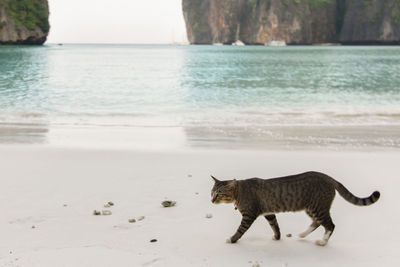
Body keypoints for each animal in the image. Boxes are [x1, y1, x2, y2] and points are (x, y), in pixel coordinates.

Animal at [211, 172, 380, 247]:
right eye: (211, 192)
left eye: (219, 194)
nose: (211, 200)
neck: (241, 190)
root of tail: (330, 178)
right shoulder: (269, 213)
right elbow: (275, 225)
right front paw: (277, 237)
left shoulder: (249, 215)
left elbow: (241, 229)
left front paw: (232, 239)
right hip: (312, 208)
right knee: (317, 223)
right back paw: (303, 234)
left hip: (318, 207)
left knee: (330, 225)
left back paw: (322, 241)